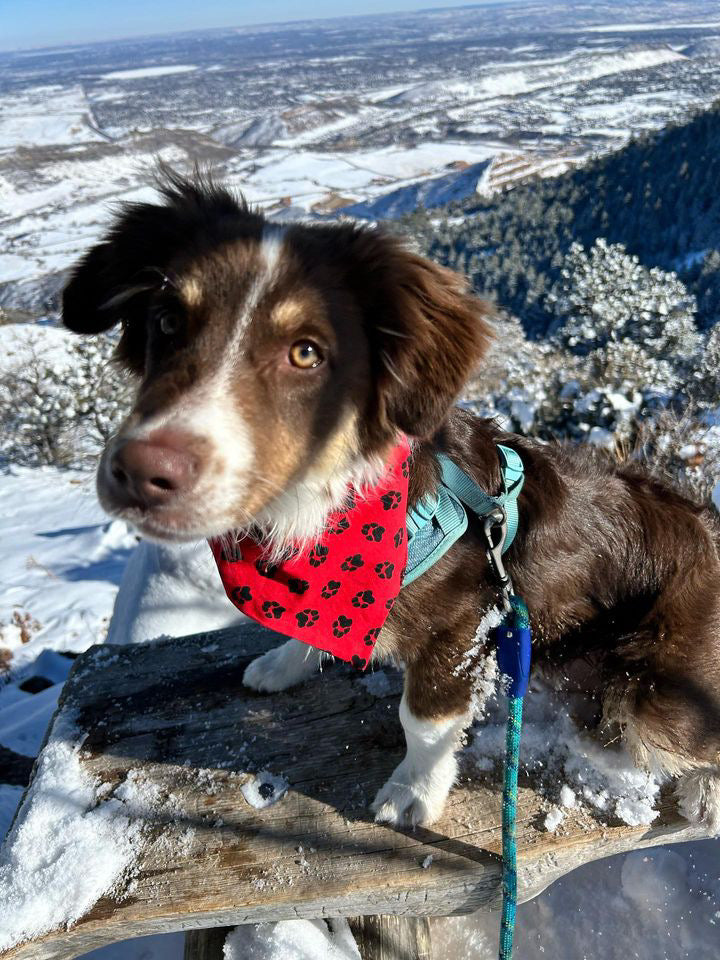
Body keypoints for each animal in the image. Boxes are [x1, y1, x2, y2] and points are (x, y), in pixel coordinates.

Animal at [62, 172, 720, 832]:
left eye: (307, 352)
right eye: (168, 321)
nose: (139, 474)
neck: (321, 510)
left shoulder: (466, 622)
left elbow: (422, 720)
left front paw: (413, 790)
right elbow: (306, 628)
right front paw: (284, 662)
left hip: (655, 692)